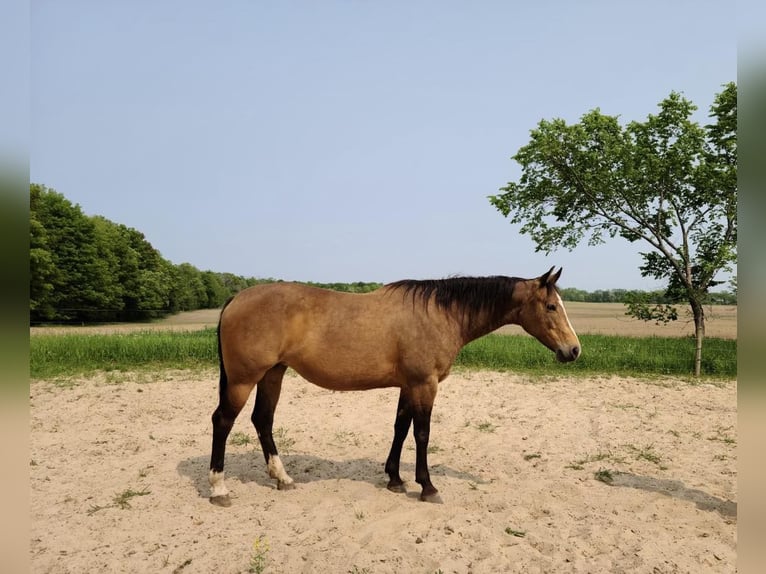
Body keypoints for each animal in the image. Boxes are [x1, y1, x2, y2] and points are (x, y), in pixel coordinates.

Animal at [210, 268, 584, 506]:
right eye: (551, 306)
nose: (574, 350)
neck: (439, 313)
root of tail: (235, 299)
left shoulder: (408, 386)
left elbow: (400, 428)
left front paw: (394, 478)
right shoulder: (424, 384)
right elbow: (422, 434)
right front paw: (427, 486)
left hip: (273, 374)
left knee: (263, 420)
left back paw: (282, 478)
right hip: (244, 380)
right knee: (223, 422)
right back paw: (218, 488)